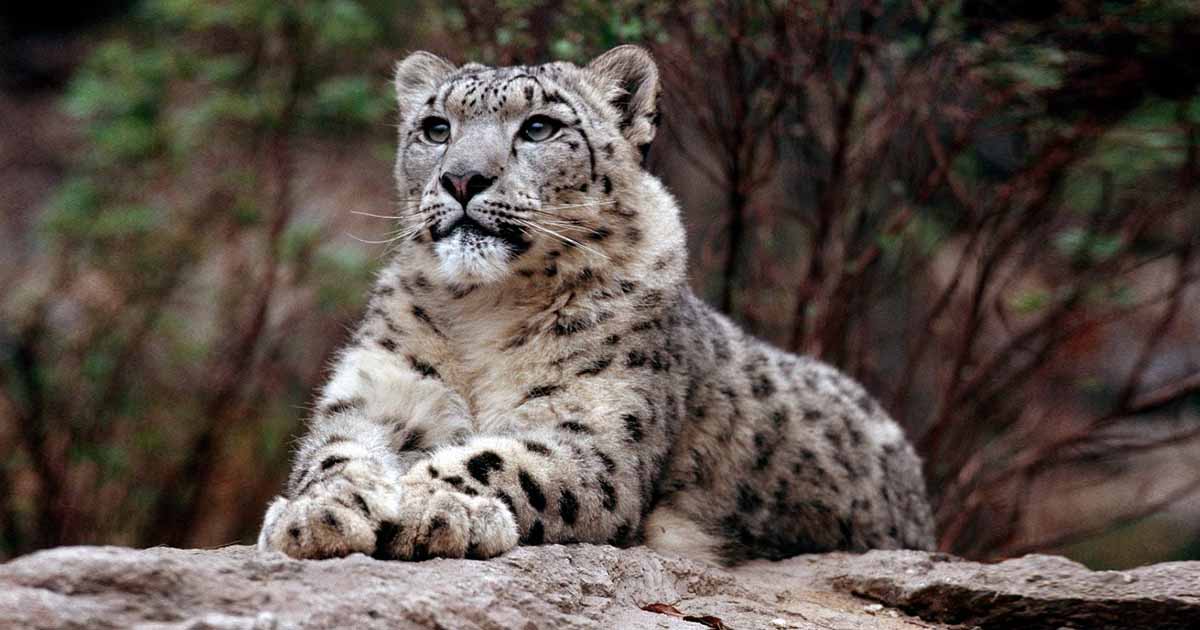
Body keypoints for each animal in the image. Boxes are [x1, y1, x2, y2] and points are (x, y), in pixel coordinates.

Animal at [257, 45, 935, 565]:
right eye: (436, 128)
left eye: (539, 127)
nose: (462, 179)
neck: (485, 309)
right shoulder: (382, 393)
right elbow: (334, 452)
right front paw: (318, 514)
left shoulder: (598, 431)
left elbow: (504, 459)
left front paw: (436, 506)